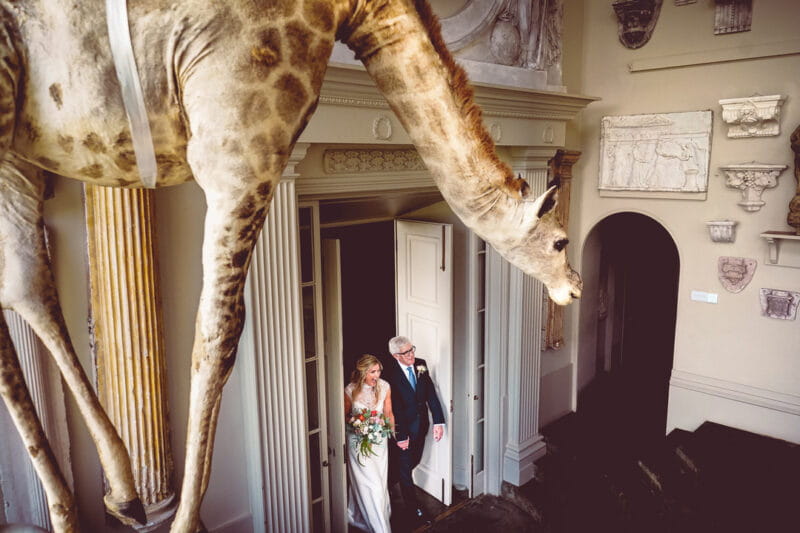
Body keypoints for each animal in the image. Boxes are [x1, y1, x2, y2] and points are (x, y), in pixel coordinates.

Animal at [0, 1, 580, 532]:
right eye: (560, 241)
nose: (573, 288)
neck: (357, 13)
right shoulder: (242, 149)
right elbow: (218, 335)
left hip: (21, 145)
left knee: (27, 284)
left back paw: (112, 499)